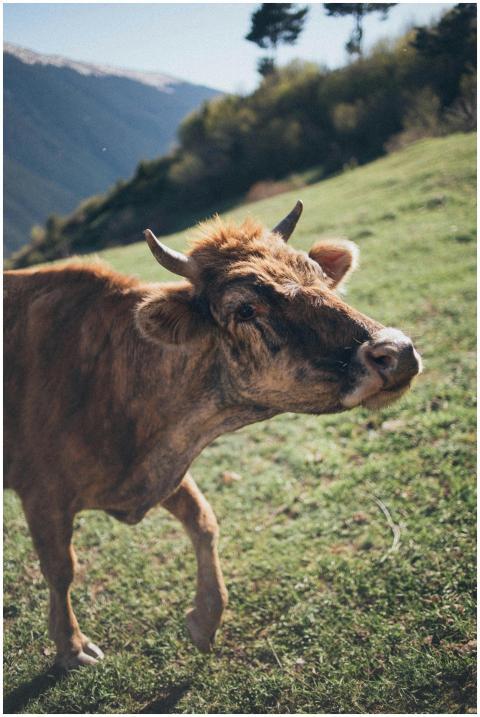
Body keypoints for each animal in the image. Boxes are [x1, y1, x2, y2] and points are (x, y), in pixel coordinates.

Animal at [4, 202, 421, 668]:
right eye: (245, 310)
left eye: (319, 276)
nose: (397, 351)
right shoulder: (42, 495)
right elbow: (61, 570)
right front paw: (72, 646)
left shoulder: (167, 465)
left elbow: (204, 521)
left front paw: (205, 619)